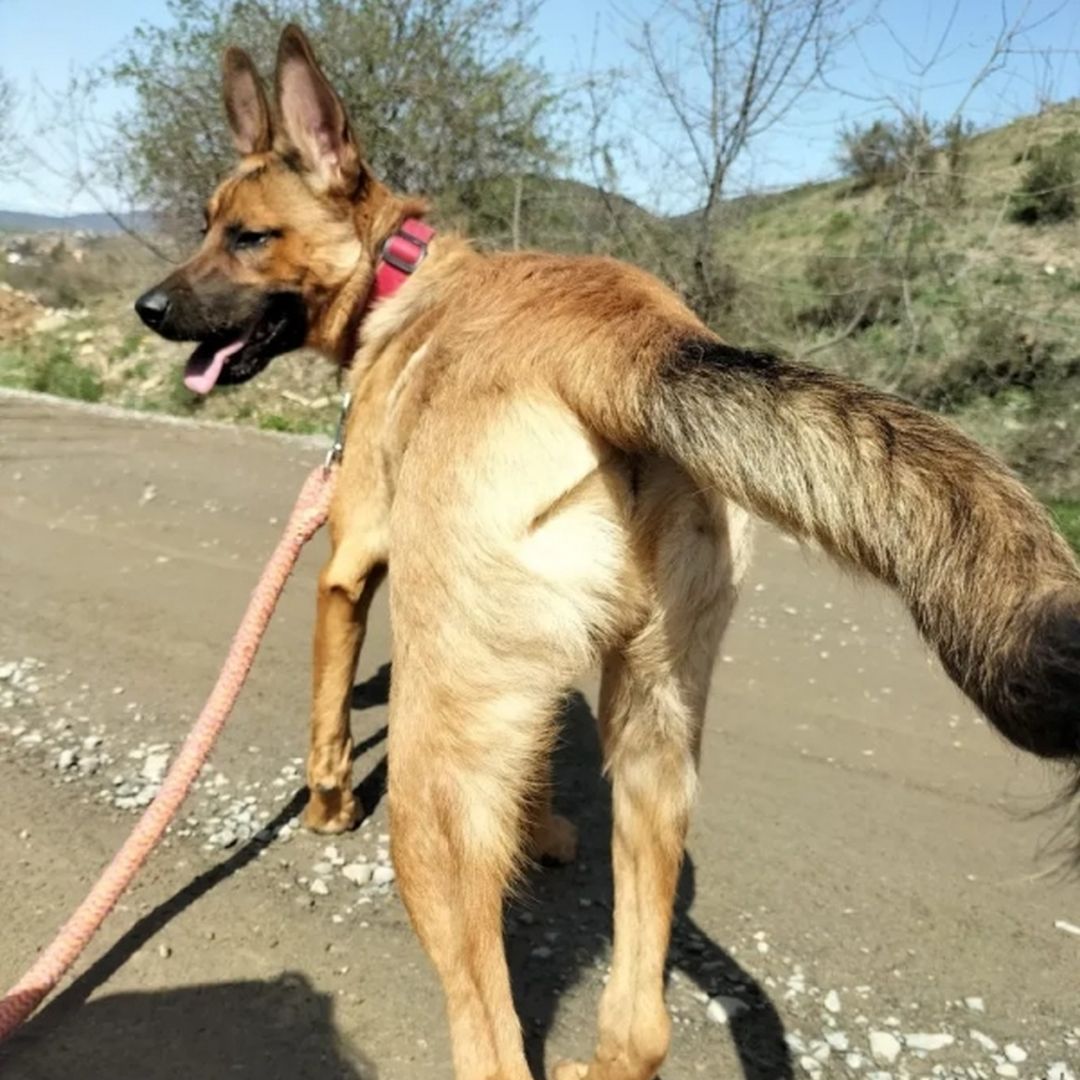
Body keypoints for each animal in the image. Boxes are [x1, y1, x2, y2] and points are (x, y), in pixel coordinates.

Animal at [137, 23, 1080, 1080]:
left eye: (247, 236)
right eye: (206, 224)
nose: (148, 308)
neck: (406, 274)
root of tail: (629, 346)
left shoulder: (348, 570)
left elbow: (328, 706)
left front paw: (327, 803)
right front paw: (542, 829)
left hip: (436, 785)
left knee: (493, 1040)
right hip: (656, 733)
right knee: (641, 1024)